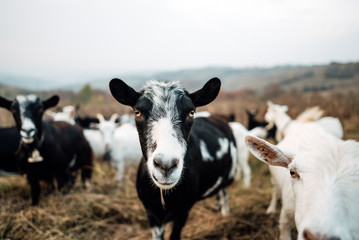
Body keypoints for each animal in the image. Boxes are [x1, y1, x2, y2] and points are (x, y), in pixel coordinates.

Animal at [109, 78, 239, 239]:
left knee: (224, 190)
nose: (166, 165)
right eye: (137, 112)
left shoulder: (183, 211)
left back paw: (225, 212)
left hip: (230, 171)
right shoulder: (152, 214)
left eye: (191, 112)